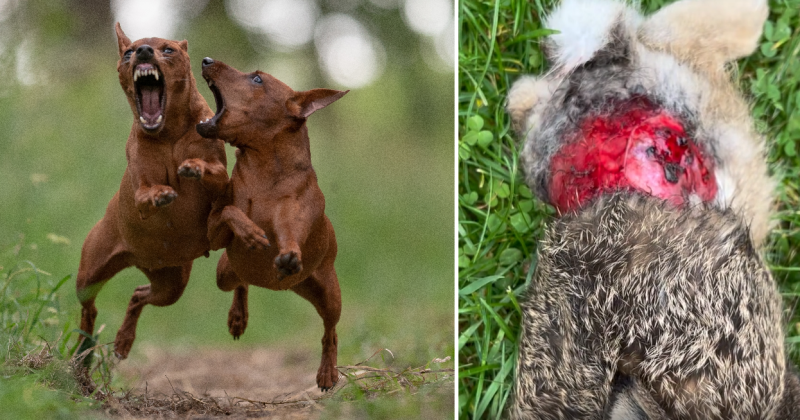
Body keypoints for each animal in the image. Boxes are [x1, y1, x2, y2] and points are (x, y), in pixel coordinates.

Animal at [75, 23, 228, 388]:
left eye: (167, 49)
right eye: (129, 53)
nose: (143, 52)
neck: (168, 132)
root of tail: (138, 259)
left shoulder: (221, 178)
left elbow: (213, 172)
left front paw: (194, 168)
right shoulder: (140, 185)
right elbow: (147, 193)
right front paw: (162, 194)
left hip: (170, 284)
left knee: (137, 295)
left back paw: (122, 342)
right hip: (89, 275)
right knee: (89, 310)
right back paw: (83, 357)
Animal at [196, 58, 346, 390]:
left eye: (257, 79)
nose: (207, 60)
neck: (261, 171)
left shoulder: (292, 220)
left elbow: (289, 235)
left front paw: (287, 254)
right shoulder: (213, 235)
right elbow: (229, 211)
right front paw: (251, 232)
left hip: (328, 293)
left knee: (330, 332)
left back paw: (327, 372)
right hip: (225, 272)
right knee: (241, 282)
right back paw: (238, 317)